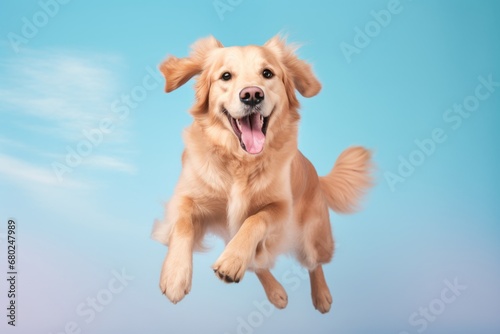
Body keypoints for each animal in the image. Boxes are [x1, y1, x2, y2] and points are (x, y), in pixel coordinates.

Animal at [152, 34, 372, 314]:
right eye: (225, 76)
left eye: (267, 73)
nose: (252, 95)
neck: (240, 162)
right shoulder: (186, 197)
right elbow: (182, 224)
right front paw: (175, 275)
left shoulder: (282, 208)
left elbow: (256, 220)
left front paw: (232, 259)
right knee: (259, 263)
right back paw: (275, 291)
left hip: (316, 237)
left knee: (314, 263)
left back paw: (321, 295)